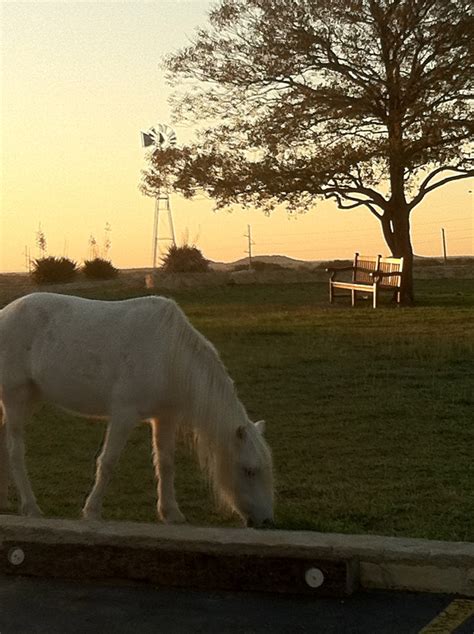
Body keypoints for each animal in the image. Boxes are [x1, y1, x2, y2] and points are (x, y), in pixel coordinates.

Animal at [0, 294, 274, 524]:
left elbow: (166, 463)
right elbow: (108, 462)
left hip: (30, 399)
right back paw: (32, 508)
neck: (168, 355)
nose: (266, 522)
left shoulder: (165, 418)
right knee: (15, 451)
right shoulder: (124, 415)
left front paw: (171, 513)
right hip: (15, 399)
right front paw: (92, 512)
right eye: (249, 470)